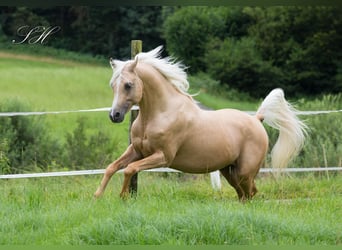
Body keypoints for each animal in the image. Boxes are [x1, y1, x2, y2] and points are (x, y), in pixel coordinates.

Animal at [94, 46, 308, 200]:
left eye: (128, 85)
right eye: (113, 85)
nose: (114, 115)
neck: (158, 114)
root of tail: (256, 119)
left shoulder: (163, 157)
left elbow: (129, 169)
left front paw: (123, 196)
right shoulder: (137, 151)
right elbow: (112, 167)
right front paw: (97, 196)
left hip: (245, 171)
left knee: (250, 193)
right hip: (229, 171)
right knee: (244, 194)